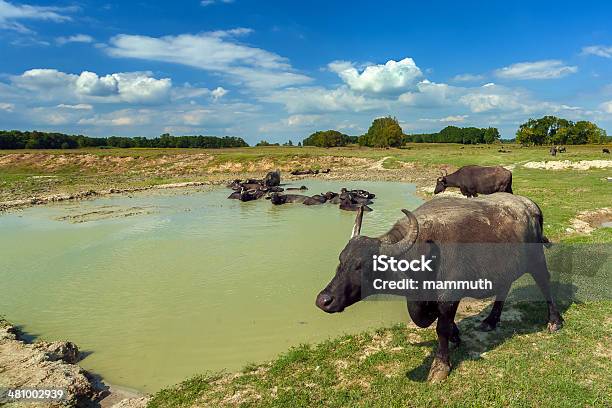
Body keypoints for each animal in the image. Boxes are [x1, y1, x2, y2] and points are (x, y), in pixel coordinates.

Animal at [318, 194, 560, 382]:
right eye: (341, 261)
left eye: (362, 266)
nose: (324, 300)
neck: (423, 254)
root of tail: (531, 206)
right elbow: (430, 320)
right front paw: (456, 334)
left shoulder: (449, 294)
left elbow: (440, 328)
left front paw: (440, 366)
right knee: (504, 288)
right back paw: (491, 320)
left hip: (536, 259)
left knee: (544, 283)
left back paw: (554, 321)